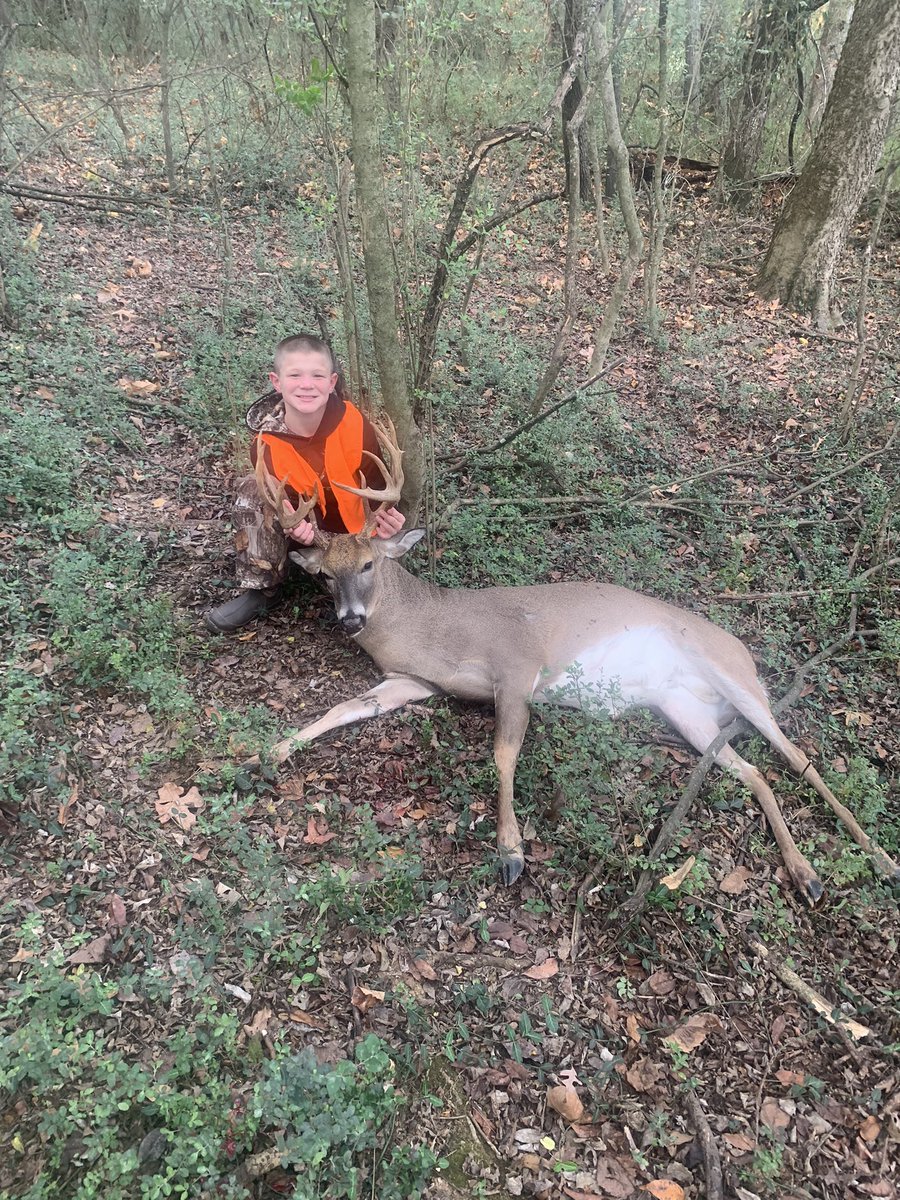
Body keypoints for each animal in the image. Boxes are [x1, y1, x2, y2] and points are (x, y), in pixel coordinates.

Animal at [250, 422, 899, 904]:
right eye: (325, 575)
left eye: (368, 565)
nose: (350, 620)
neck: (437, 630)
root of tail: (739, 650)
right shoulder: (409, 680)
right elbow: (343, 709)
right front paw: (269, 753)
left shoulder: (517, 663)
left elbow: (503, 754)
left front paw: (511, 852)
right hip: (683, 707)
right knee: (754, 770)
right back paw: (806, 873)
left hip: (731, 675)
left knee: (795, 755)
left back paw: (878, 858)